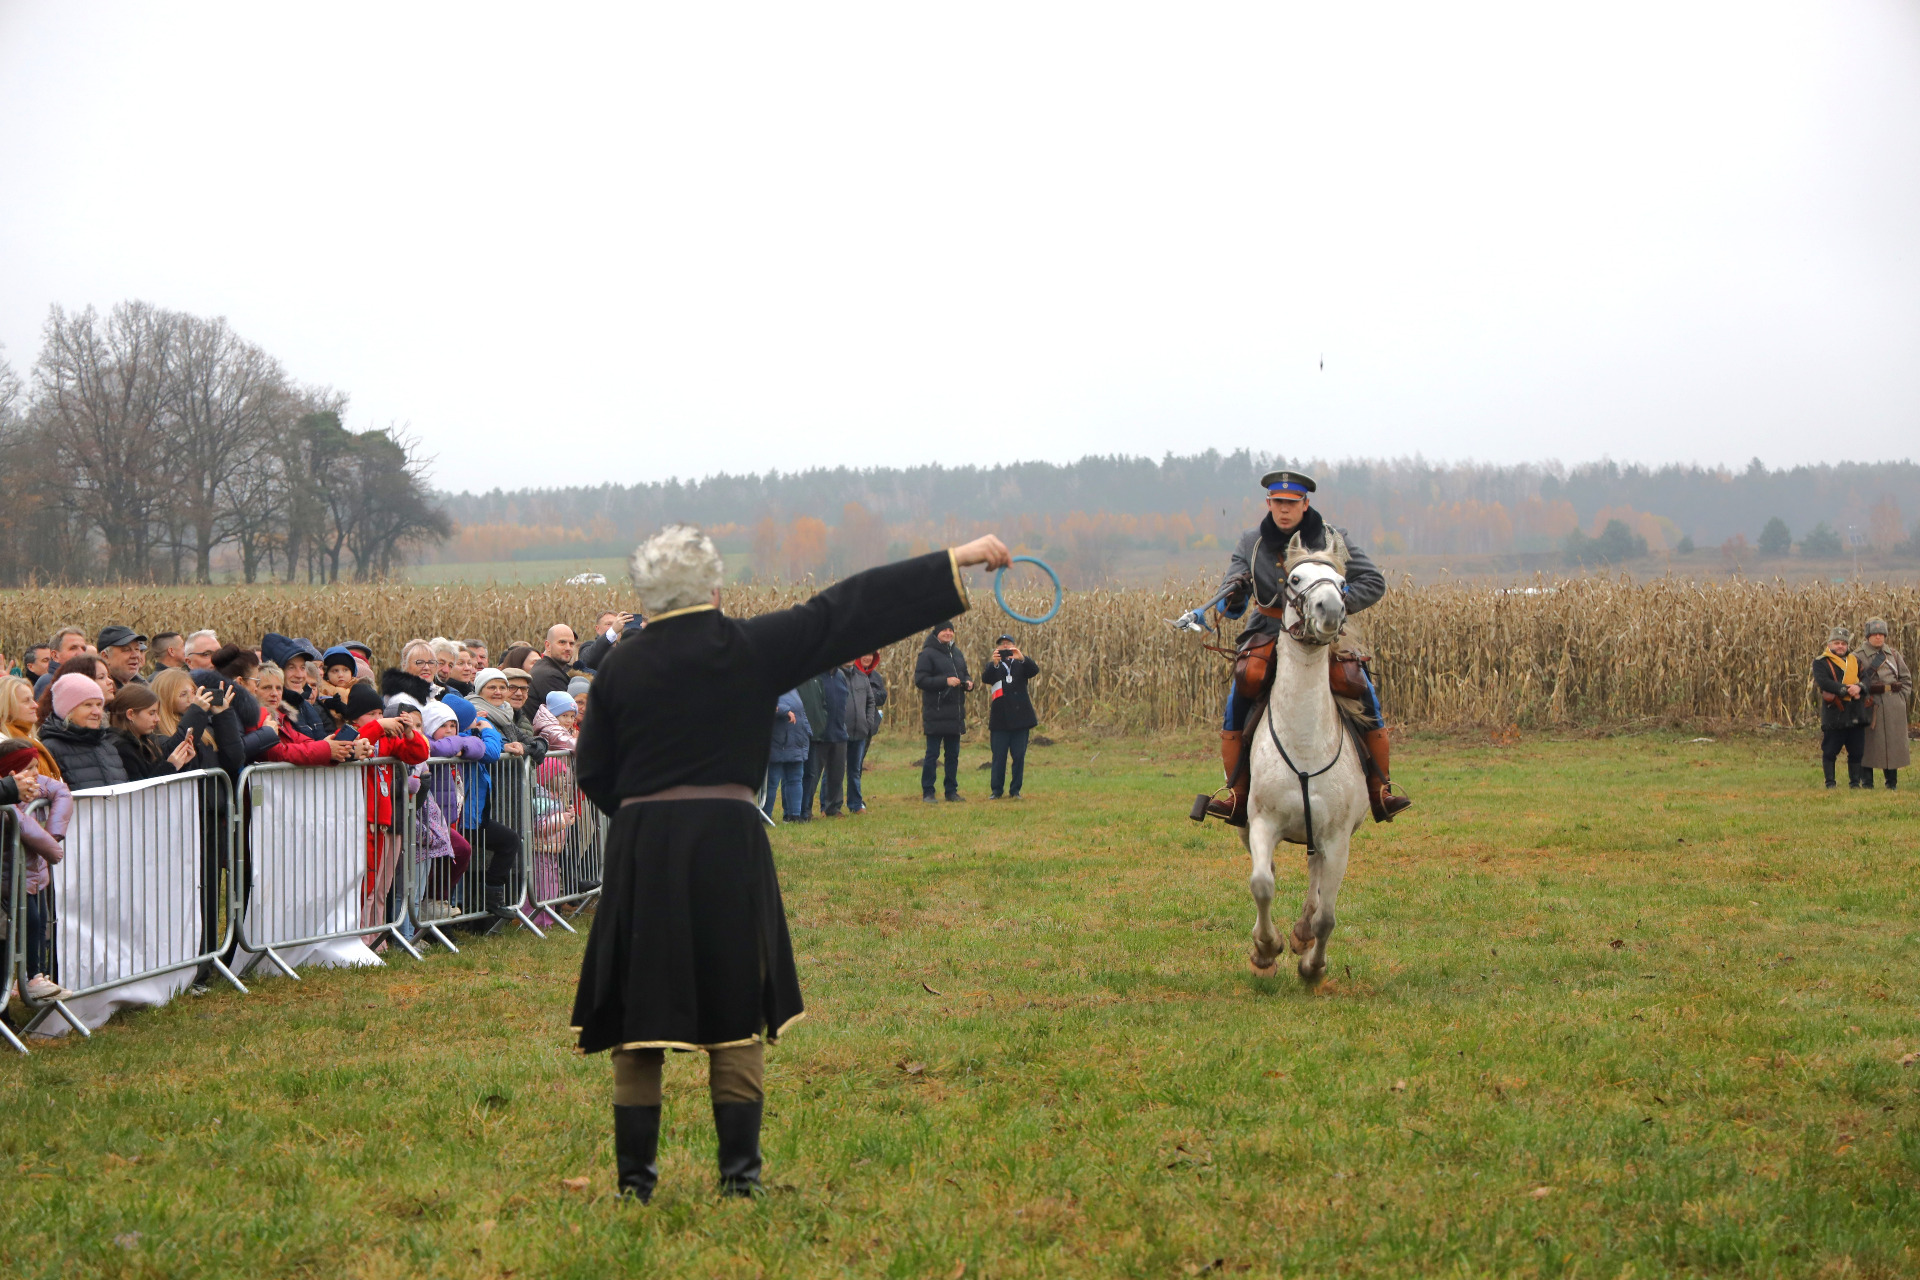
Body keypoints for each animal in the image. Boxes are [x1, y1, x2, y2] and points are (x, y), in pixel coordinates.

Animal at [1241, 530, 1371, 983]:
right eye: (1294, 579)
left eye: (1343, 583)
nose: (1330, 609)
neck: (1304, 745)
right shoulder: (1261, 824)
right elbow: (1262, 883)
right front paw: (1265, 950)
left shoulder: (1337, 838)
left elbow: (1326, 917)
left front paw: (1312, 965)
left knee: (1316, 886)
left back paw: (1301, 934)